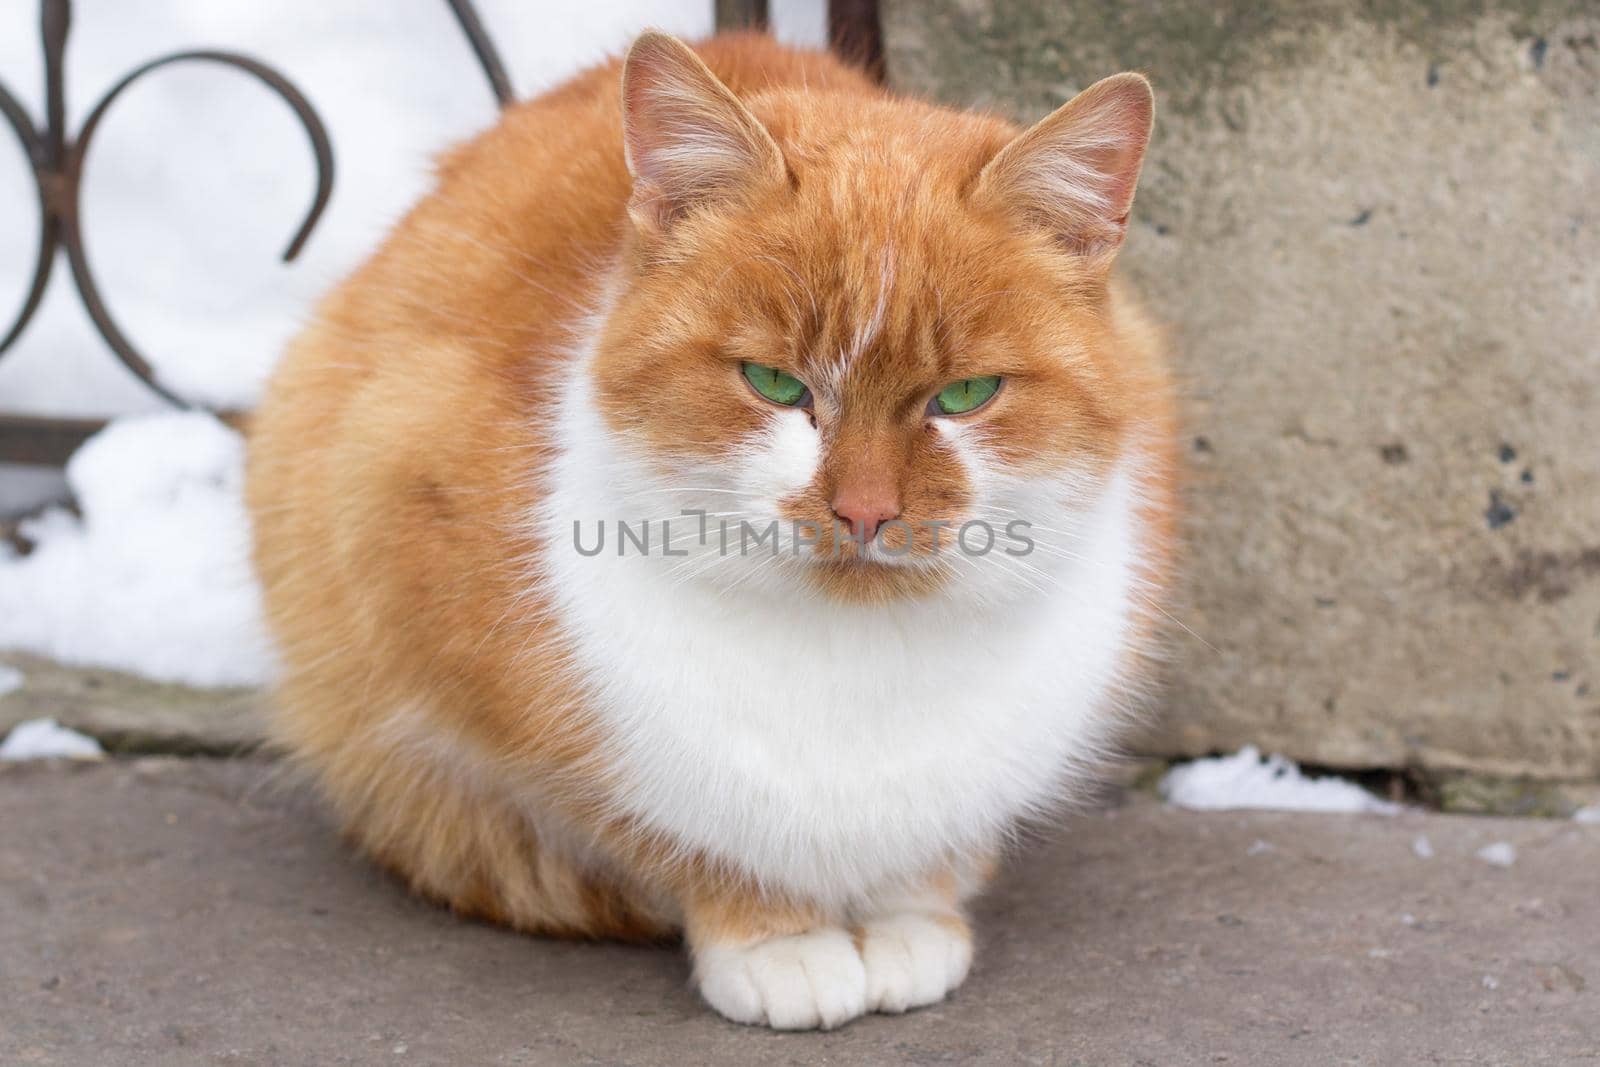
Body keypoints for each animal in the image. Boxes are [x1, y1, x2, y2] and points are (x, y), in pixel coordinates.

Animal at [246, 33, 1177, 1030]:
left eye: (967, 393)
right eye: (772, 382)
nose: (864, 509)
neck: (851, 661)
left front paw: (907, 912)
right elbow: (688, 836)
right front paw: (777, 937)